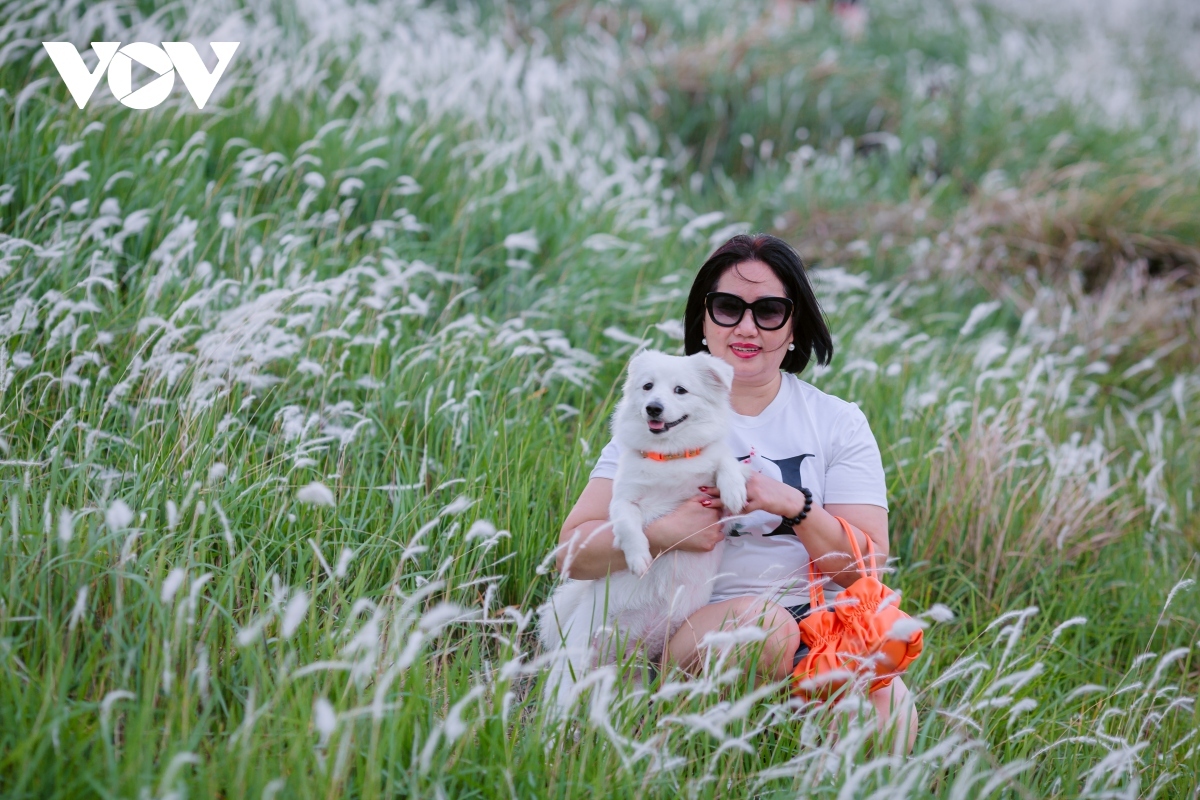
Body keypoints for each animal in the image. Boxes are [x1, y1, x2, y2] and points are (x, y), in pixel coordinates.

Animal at [540, 347, 744, 710]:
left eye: (680, 390)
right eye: (648, 387)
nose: (654, 408)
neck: (670, 457)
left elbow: (724, 462)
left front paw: (735, 491)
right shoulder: (624, 500)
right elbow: (630, 525)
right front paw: (638, 559)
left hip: (633, 686)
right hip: (572, 673)